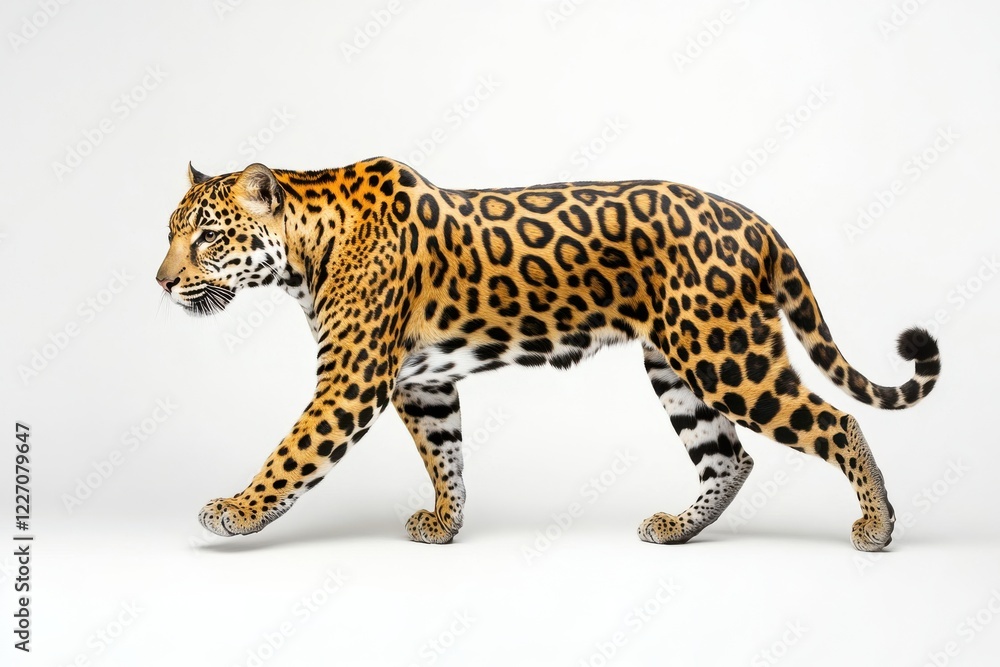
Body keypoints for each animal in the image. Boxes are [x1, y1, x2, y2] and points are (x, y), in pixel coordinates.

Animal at [156, 158, 940, 551]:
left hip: (729, 355)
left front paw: (236, 511)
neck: (304, 250)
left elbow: (292, 454)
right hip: (676, 365)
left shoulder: (350, 381)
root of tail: (757, 221)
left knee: (837, 422)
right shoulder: (421, 383)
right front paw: (445, 523)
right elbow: (445, 453)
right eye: (170, 232)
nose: (161, 282)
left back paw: (877, 527)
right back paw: (676, 530)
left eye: (207, 237)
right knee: (729, 457)